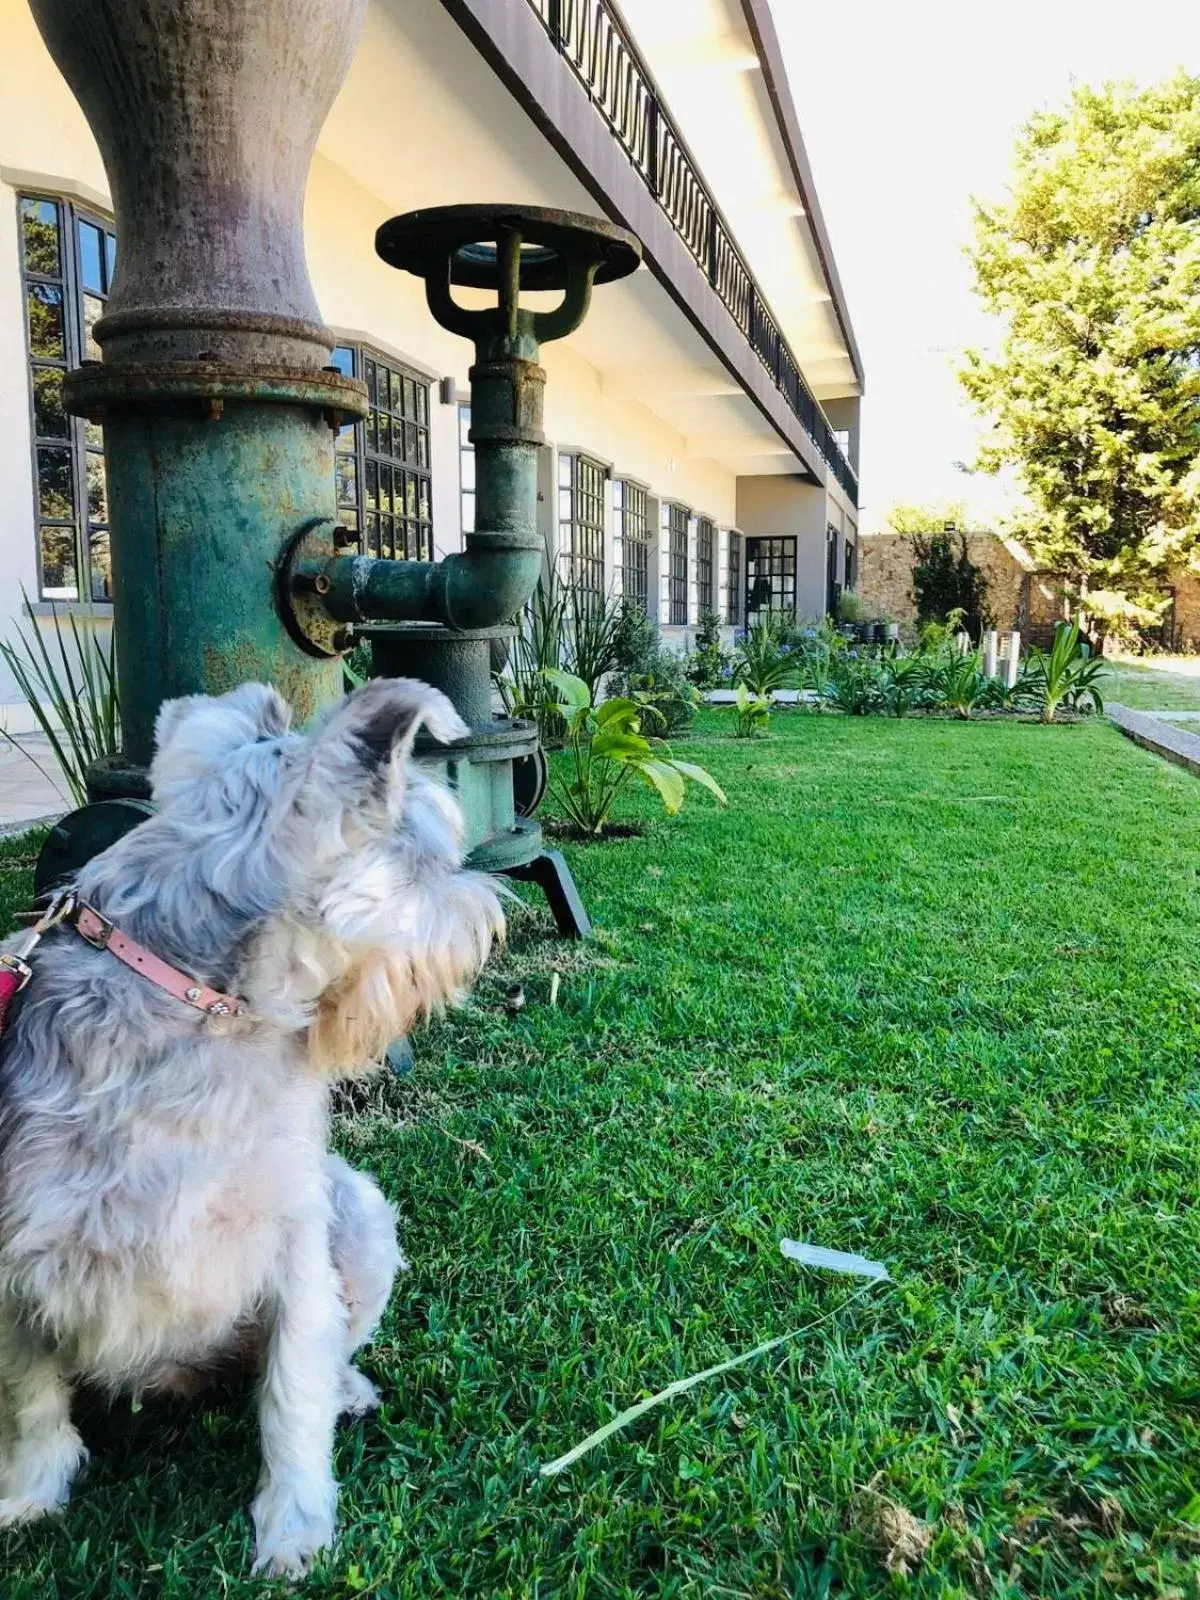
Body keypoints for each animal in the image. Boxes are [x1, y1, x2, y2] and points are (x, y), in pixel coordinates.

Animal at [0, 675, 502, 1574]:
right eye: (434, 860)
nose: (489, 921)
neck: (192, 1002)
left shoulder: (294, 1233)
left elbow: (294, 1386)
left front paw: (293, 1526)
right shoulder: (16, 1267)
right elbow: (28, 1398)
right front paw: (28, 1493)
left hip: (359, 1213)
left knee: (333, 1346)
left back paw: (348, 1388)